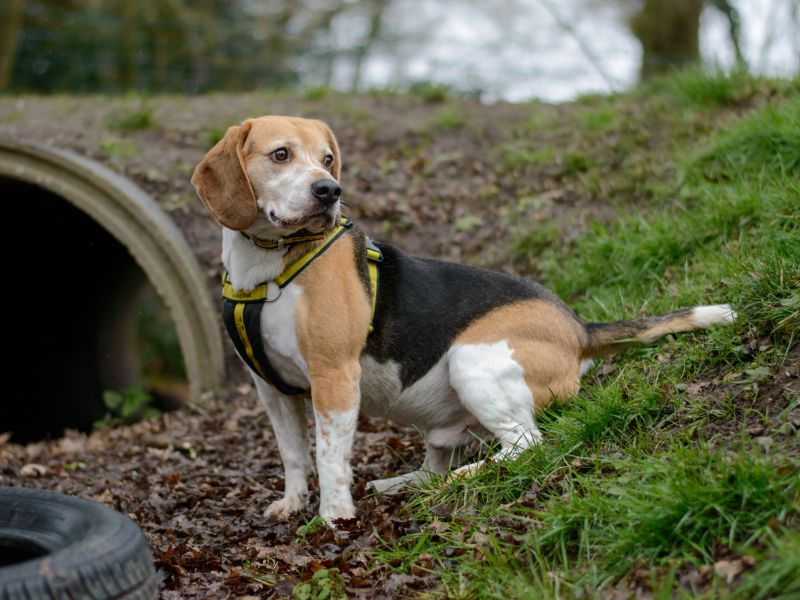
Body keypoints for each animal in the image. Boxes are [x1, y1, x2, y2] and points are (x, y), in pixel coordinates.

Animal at [191, 115, 736, 524]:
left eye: (327, 159)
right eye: (281, 154)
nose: (330, 190)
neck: (268, 267)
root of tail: (579, 328)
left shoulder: (333, 377)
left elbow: (329, 455)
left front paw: (333, 516)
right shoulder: (272, 390)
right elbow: (294, 454)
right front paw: (293, 503)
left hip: (472, 361)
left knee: (527, 446)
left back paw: (464, 478)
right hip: (445, 416)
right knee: (442, 463)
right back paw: (404, 483)